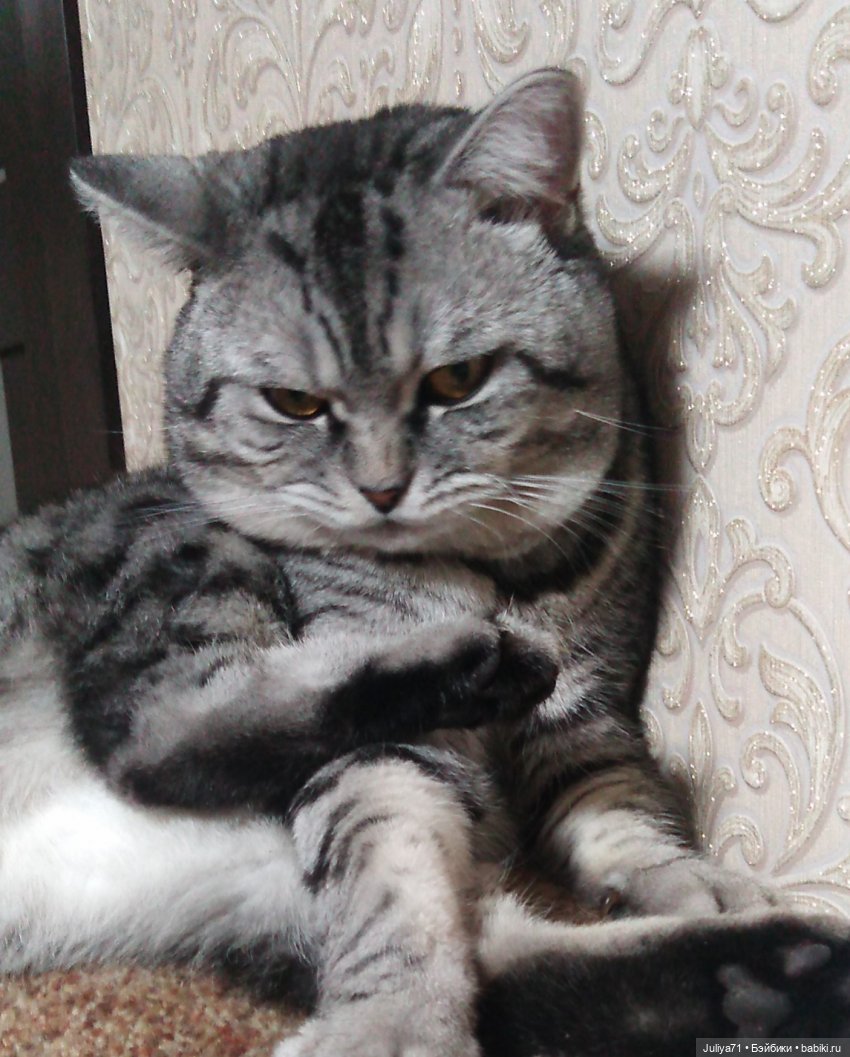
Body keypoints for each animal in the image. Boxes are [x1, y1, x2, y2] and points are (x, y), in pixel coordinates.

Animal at [1, 67, 847, 1055]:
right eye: (293, 403)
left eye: (456, 381)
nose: (380, 489)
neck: (494, 575)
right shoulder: (383, 756)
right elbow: (388, 874)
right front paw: (396, 1020)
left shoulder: (589, 714)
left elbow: (622, 807)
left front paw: (689, 879)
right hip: (183, 547)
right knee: (155, 731)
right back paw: (476, 663)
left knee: (510, 959)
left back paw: (776, 967)